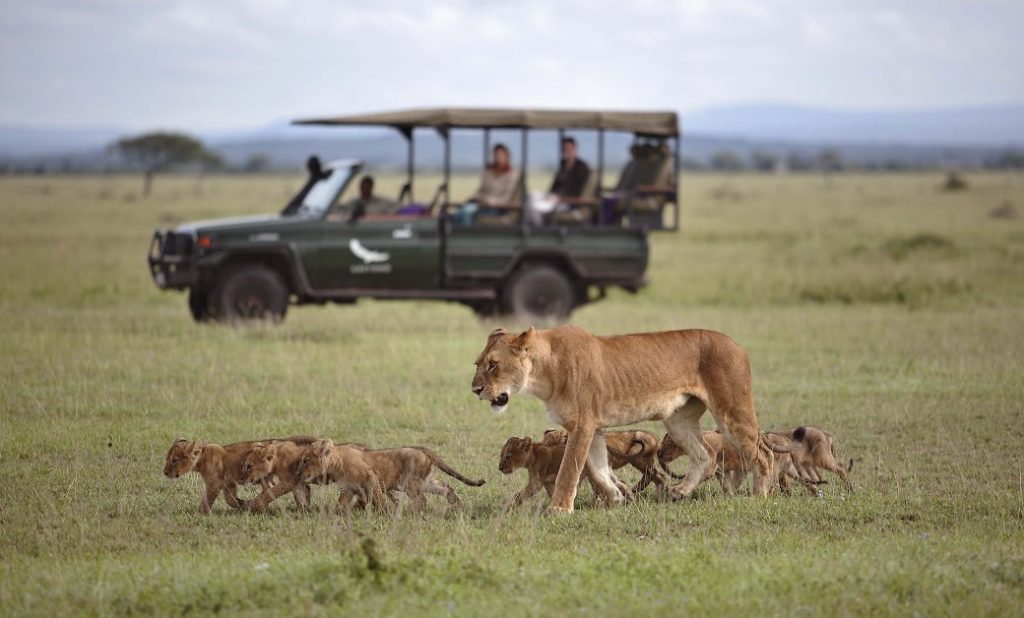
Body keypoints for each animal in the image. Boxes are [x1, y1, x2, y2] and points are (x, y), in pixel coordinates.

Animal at [163, 435, 315, 514]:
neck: (202, 458)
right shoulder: (228, 484)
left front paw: (199, 513)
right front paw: (243, 504)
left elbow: (207, 500)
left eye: (174, 460)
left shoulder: (214, 484)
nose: (165, 472)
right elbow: (230, 500)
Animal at [297, 438, 485, 513]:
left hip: (411, 484)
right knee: (446, 488)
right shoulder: (349, 488)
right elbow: (341, 503)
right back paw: (458, 505)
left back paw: (414, 513)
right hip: (426, 482)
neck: (336, 462)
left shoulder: (370, 477)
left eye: (305, 460)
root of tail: (423, 449)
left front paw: (385, 512)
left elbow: (378, 498)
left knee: (422, 500)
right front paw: (338, 513)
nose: (298, 474)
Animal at [472, 325, 773, 513]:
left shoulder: (582, 425)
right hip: (678, 419)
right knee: (705, 454)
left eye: (493, 364)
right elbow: (598, 468)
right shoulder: (592, 428)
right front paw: (616, 497)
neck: (543, 372)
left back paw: (760, 495)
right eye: (478, 364)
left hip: (731, 411)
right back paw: (680, 492)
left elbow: (569, 470)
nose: (475, 390)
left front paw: (559, 508)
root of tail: (736, 345)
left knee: (763, 453)